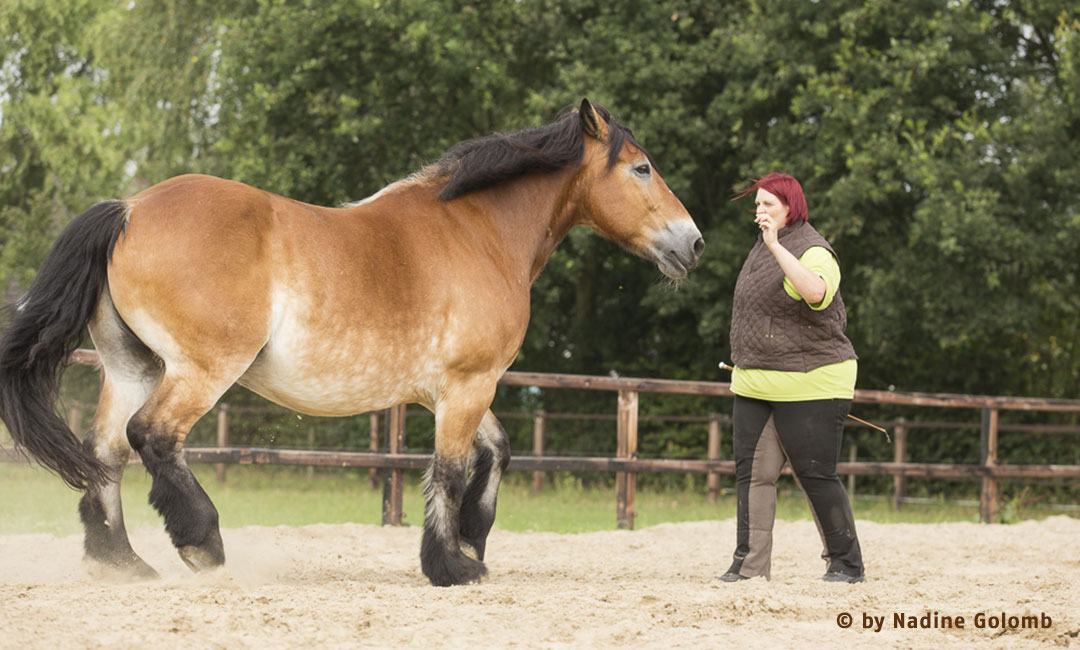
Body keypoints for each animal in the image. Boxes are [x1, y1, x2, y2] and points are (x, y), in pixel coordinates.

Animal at [0, 98, 704, 583]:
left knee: (106, 453)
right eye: (642, 168)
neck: (479, 232)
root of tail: (129, 209)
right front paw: (453, 565)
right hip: (201, 369)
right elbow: (451, 470)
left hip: (132, 366)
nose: (693, 243)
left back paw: (119, 561)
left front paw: (471, 542)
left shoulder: (448, 391)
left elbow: (496, 452)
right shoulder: (468, 383)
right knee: (153, 436)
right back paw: (202, 543)